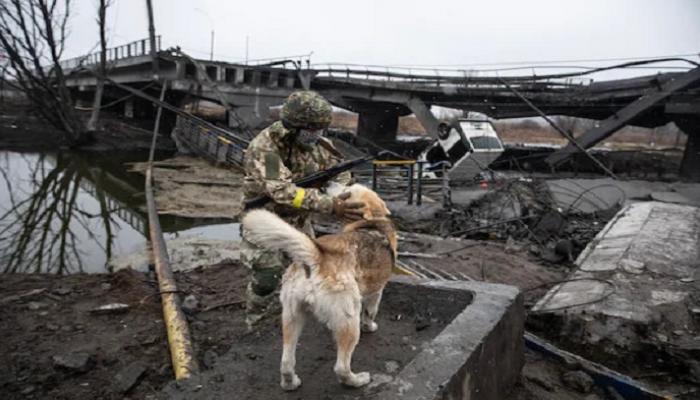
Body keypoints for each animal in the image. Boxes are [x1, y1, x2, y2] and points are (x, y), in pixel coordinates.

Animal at [241, 185, 394, 390]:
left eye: (347, 189)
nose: (328, 186)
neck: (369, 225)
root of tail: (316, 257)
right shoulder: (376, 291)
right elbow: (370, 313)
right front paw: (370, 327)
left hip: (292, 317)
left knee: (286, 361)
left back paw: (290, 383)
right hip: (349, 321)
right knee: (341, 367)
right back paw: (357, 380)